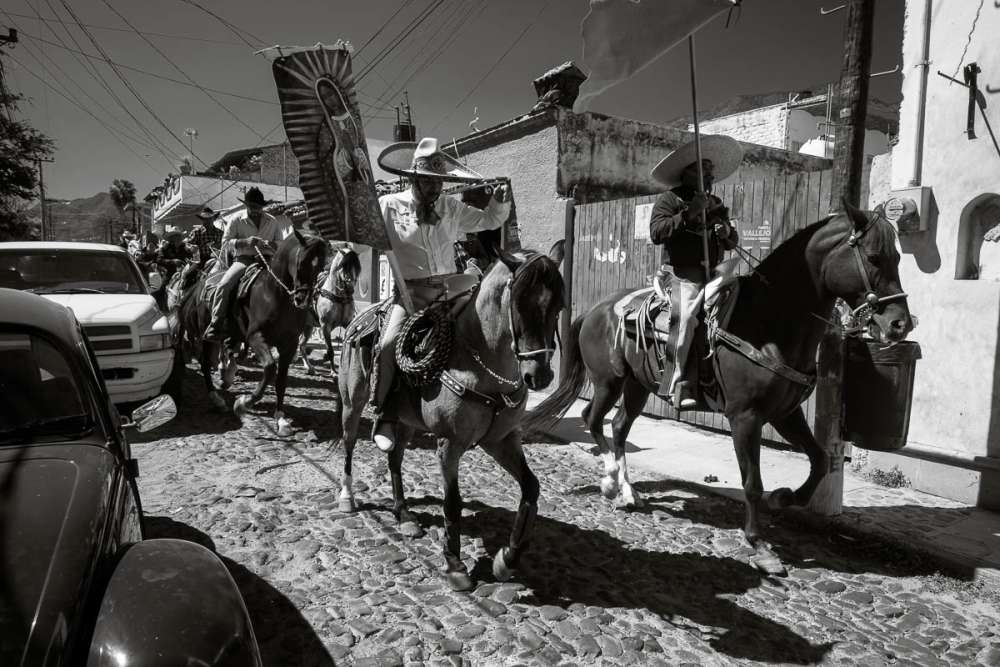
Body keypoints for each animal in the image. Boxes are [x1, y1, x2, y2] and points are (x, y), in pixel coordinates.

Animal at [174, 232, 326, 436]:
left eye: (321, 266)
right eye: (301, 262)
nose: (303, 299)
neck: (274, 295)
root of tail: (201, 284)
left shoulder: (290, 344)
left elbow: (281, 380)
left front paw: (281, 419)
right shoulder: (256, 337)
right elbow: (269, 368)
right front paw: (243, 404)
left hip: (231, 332)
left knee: (227, 351)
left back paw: (227, 376)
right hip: (206, 335)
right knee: (206, 364)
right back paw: (217, 398)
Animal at [336, 243, 568, 592]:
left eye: (559, 305)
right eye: (518, 304)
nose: (538, 375)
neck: (482, 363)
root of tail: (359, 318)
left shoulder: (501, 440)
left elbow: (531, 487)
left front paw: (506, 559)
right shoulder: (449, 443)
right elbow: (452, 503)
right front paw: (455, 564)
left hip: (406, 422)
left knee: (394, 460)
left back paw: (404, 515)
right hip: (353, 403)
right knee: (349, 444)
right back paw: (347, 496)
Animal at [532, 202, 916, 576]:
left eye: (898, 258)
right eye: (874, 257)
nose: (900, 324)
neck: (769, 321)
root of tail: (596, 310)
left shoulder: (786, 413)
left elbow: (820, 460)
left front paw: (784, 498)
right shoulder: (745, 417)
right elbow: (752, 483)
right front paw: (759, 545)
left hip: (637, 386)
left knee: (618, 426)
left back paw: (628, 493)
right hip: (608, 382)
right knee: (592, 419)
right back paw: (611, 483)